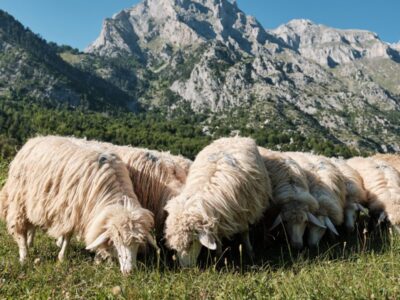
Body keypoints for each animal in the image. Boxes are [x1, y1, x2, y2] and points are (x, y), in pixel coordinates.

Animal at [0, 136, 155, 274]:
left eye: (137, 244)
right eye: (117, 241)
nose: (130, 272)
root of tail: (34, 139)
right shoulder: (70, 208)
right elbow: (68, 235)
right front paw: (62, 257)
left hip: (34, 201)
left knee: (32, 223)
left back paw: (30, 242)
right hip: (20, 199)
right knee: (19, 228)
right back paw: (24, 256)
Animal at [163, 137, 272, 266]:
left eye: (191, 242)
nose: (185, 267)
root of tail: (233, 137)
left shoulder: (244, 211)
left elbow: (244, 232)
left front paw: (250, 253)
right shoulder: (220, 217)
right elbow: (218, 237)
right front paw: (219, 257)